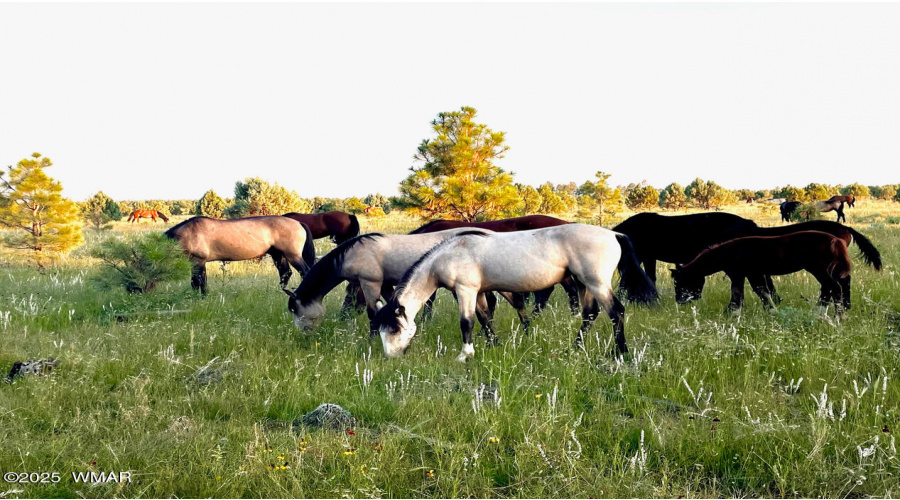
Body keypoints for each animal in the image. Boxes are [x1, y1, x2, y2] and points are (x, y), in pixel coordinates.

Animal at [164, 217, 316, 294]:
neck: (186, 234)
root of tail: (299, 223)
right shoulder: (196, 262)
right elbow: (197, 282)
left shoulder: (198, 261)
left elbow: (199, 282)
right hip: (279, 255)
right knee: (285, 273)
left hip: (293, 255)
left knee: (304, 271)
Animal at [372, 225, 660, 362]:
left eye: (395, 329)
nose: (391, 356)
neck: (449, 253)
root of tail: (614, 234)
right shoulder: (479, 292)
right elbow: (485, 318)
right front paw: (494, 345)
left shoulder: (466, 291)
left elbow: (467, 322)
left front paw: (465, 355)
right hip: (584, 284)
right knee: (590, 314)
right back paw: (575, 349)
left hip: (596, 283)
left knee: (615, 312)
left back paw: (619, 352)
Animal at [672, 229, 856, 312]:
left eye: (678, 282)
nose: (679, 301)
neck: (728, 252)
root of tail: (835, 240)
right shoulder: (753, 274)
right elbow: (762, 292)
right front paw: (771, 310)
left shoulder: (739, 274)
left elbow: (738, 294)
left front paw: (731, 313)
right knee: (829, 289)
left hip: (819, 269)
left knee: (834, 288)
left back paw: (837, 316)